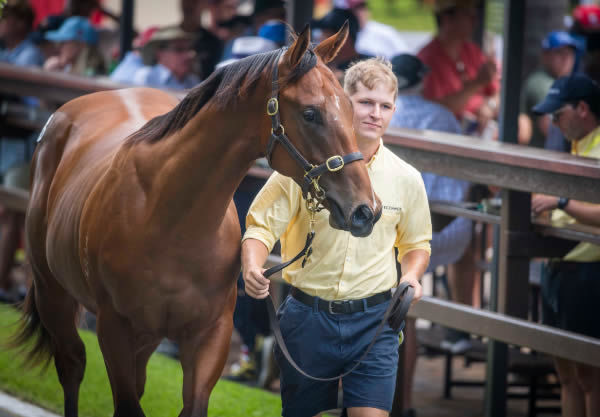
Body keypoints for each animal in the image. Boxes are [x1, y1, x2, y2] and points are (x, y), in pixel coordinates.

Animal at [15, 24, 384, 414]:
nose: (366, 210)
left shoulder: (210, 335)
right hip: (52, 293)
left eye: (349, 107)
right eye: (310, 113)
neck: (170, 221)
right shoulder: (114, 329)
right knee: (72, 365)